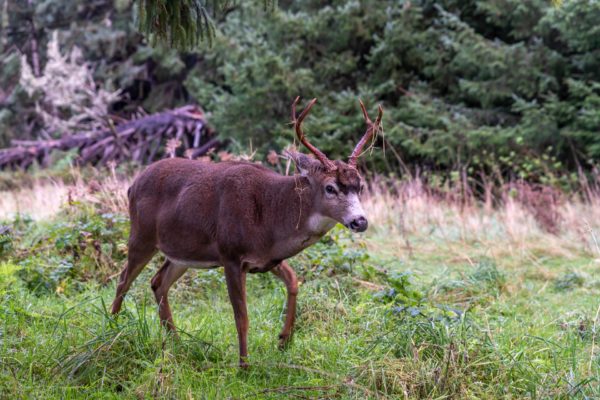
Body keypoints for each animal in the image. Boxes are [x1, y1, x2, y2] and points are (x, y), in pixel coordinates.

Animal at [111, 96, 384, 366]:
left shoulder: (267, 258)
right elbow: (241, 317)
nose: (360, 221)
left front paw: (284, 340)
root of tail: (133, 184)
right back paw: (112, 330)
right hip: (142, 235)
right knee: (123, 280)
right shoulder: (230, 254)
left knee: (158, 282)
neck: (271, 216)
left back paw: (178, 345)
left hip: (182, 253)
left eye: (360, 186)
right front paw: (244, 365)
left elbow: (294, 281)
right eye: (330, 188)